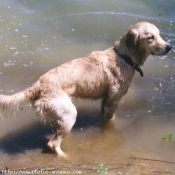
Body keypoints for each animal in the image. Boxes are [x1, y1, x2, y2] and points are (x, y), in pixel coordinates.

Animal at [0, 21, 172, 157]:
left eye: (159, 35)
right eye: (150, 37)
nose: (169, 47)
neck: (124, 57)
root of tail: (38, 85)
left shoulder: (105, 100)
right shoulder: (113, 101)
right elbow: (110, 121)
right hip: (69, 114)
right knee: (53, 144)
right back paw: (66, 157)